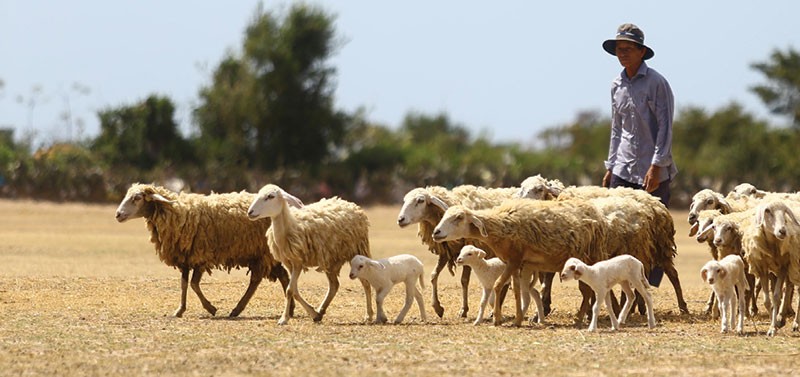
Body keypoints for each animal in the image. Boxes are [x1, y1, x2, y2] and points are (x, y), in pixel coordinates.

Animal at [115, 182, 294, 318]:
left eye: (137, 198)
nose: (117, 214)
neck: (178, 213)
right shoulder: (185, 257)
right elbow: (183, 284)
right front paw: (180, 310)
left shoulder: (200, 255)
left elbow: (194, 284)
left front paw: (210, 308)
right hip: (265, 253)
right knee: (282, 276)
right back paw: (290, 309)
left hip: (263, 252)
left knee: (257, 279)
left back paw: (237, 310)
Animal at [248, 184, 374, 324]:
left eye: (270, 196)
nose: (250, 212)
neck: (289, 227)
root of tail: (350, 204)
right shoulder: (289, 263)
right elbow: (294, 290)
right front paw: (314, 314)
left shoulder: (297, 262)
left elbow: (290, 290)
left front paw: (284, 318)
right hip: (330, 259)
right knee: (334, 285)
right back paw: (321, 310)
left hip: (357, 250)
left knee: (366, 283)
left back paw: (369, 315)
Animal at [434, 198, 608, 324]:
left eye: (459, 217)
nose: (436, 232)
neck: (500, 225)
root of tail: (598, 216)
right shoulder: (516, 263)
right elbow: (517, 290)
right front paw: (517, 320)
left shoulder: (514, 260)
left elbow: (498, 285)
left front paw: (497, 318)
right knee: (587, 290)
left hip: (589, 257)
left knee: (587, 290)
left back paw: (579, 319)